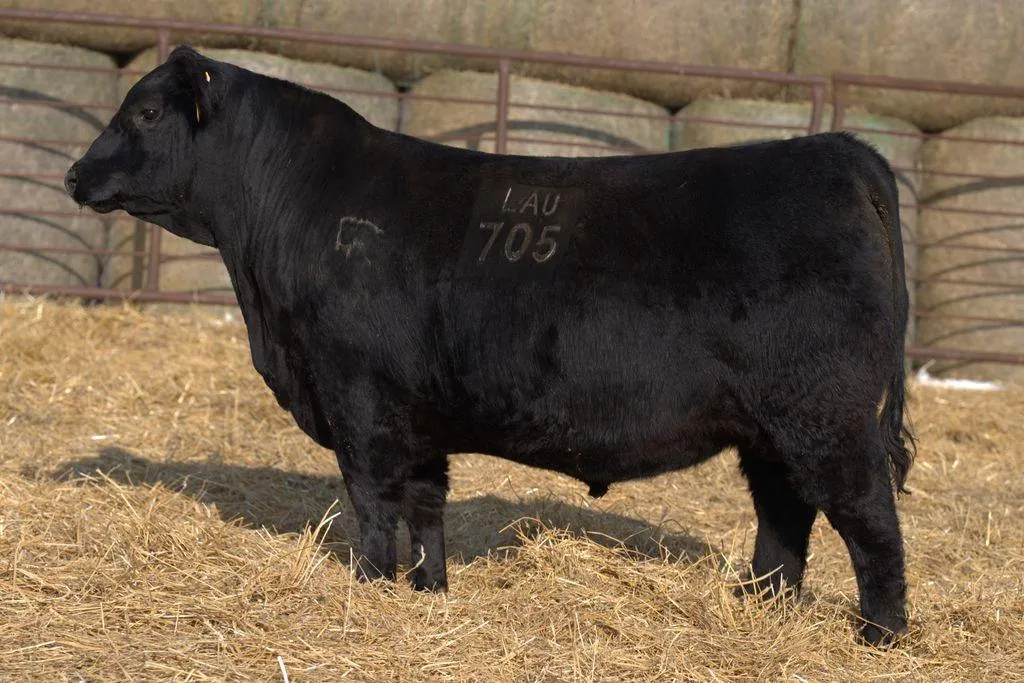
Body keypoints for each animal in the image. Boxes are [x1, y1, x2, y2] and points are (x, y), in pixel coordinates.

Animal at [65, 46, 915, 646]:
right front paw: (426, 591)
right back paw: (760, 608)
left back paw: (879, 634)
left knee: (867, 515)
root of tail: (836, 150)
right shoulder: (415, 418)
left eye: (145, 112)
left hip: (825, 414)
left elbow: (371, 502)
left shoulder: (358, 398)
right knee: (784, 516)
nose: (74, 173)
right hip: (770, 426)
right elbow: (426, 505)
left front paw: (367, 588)